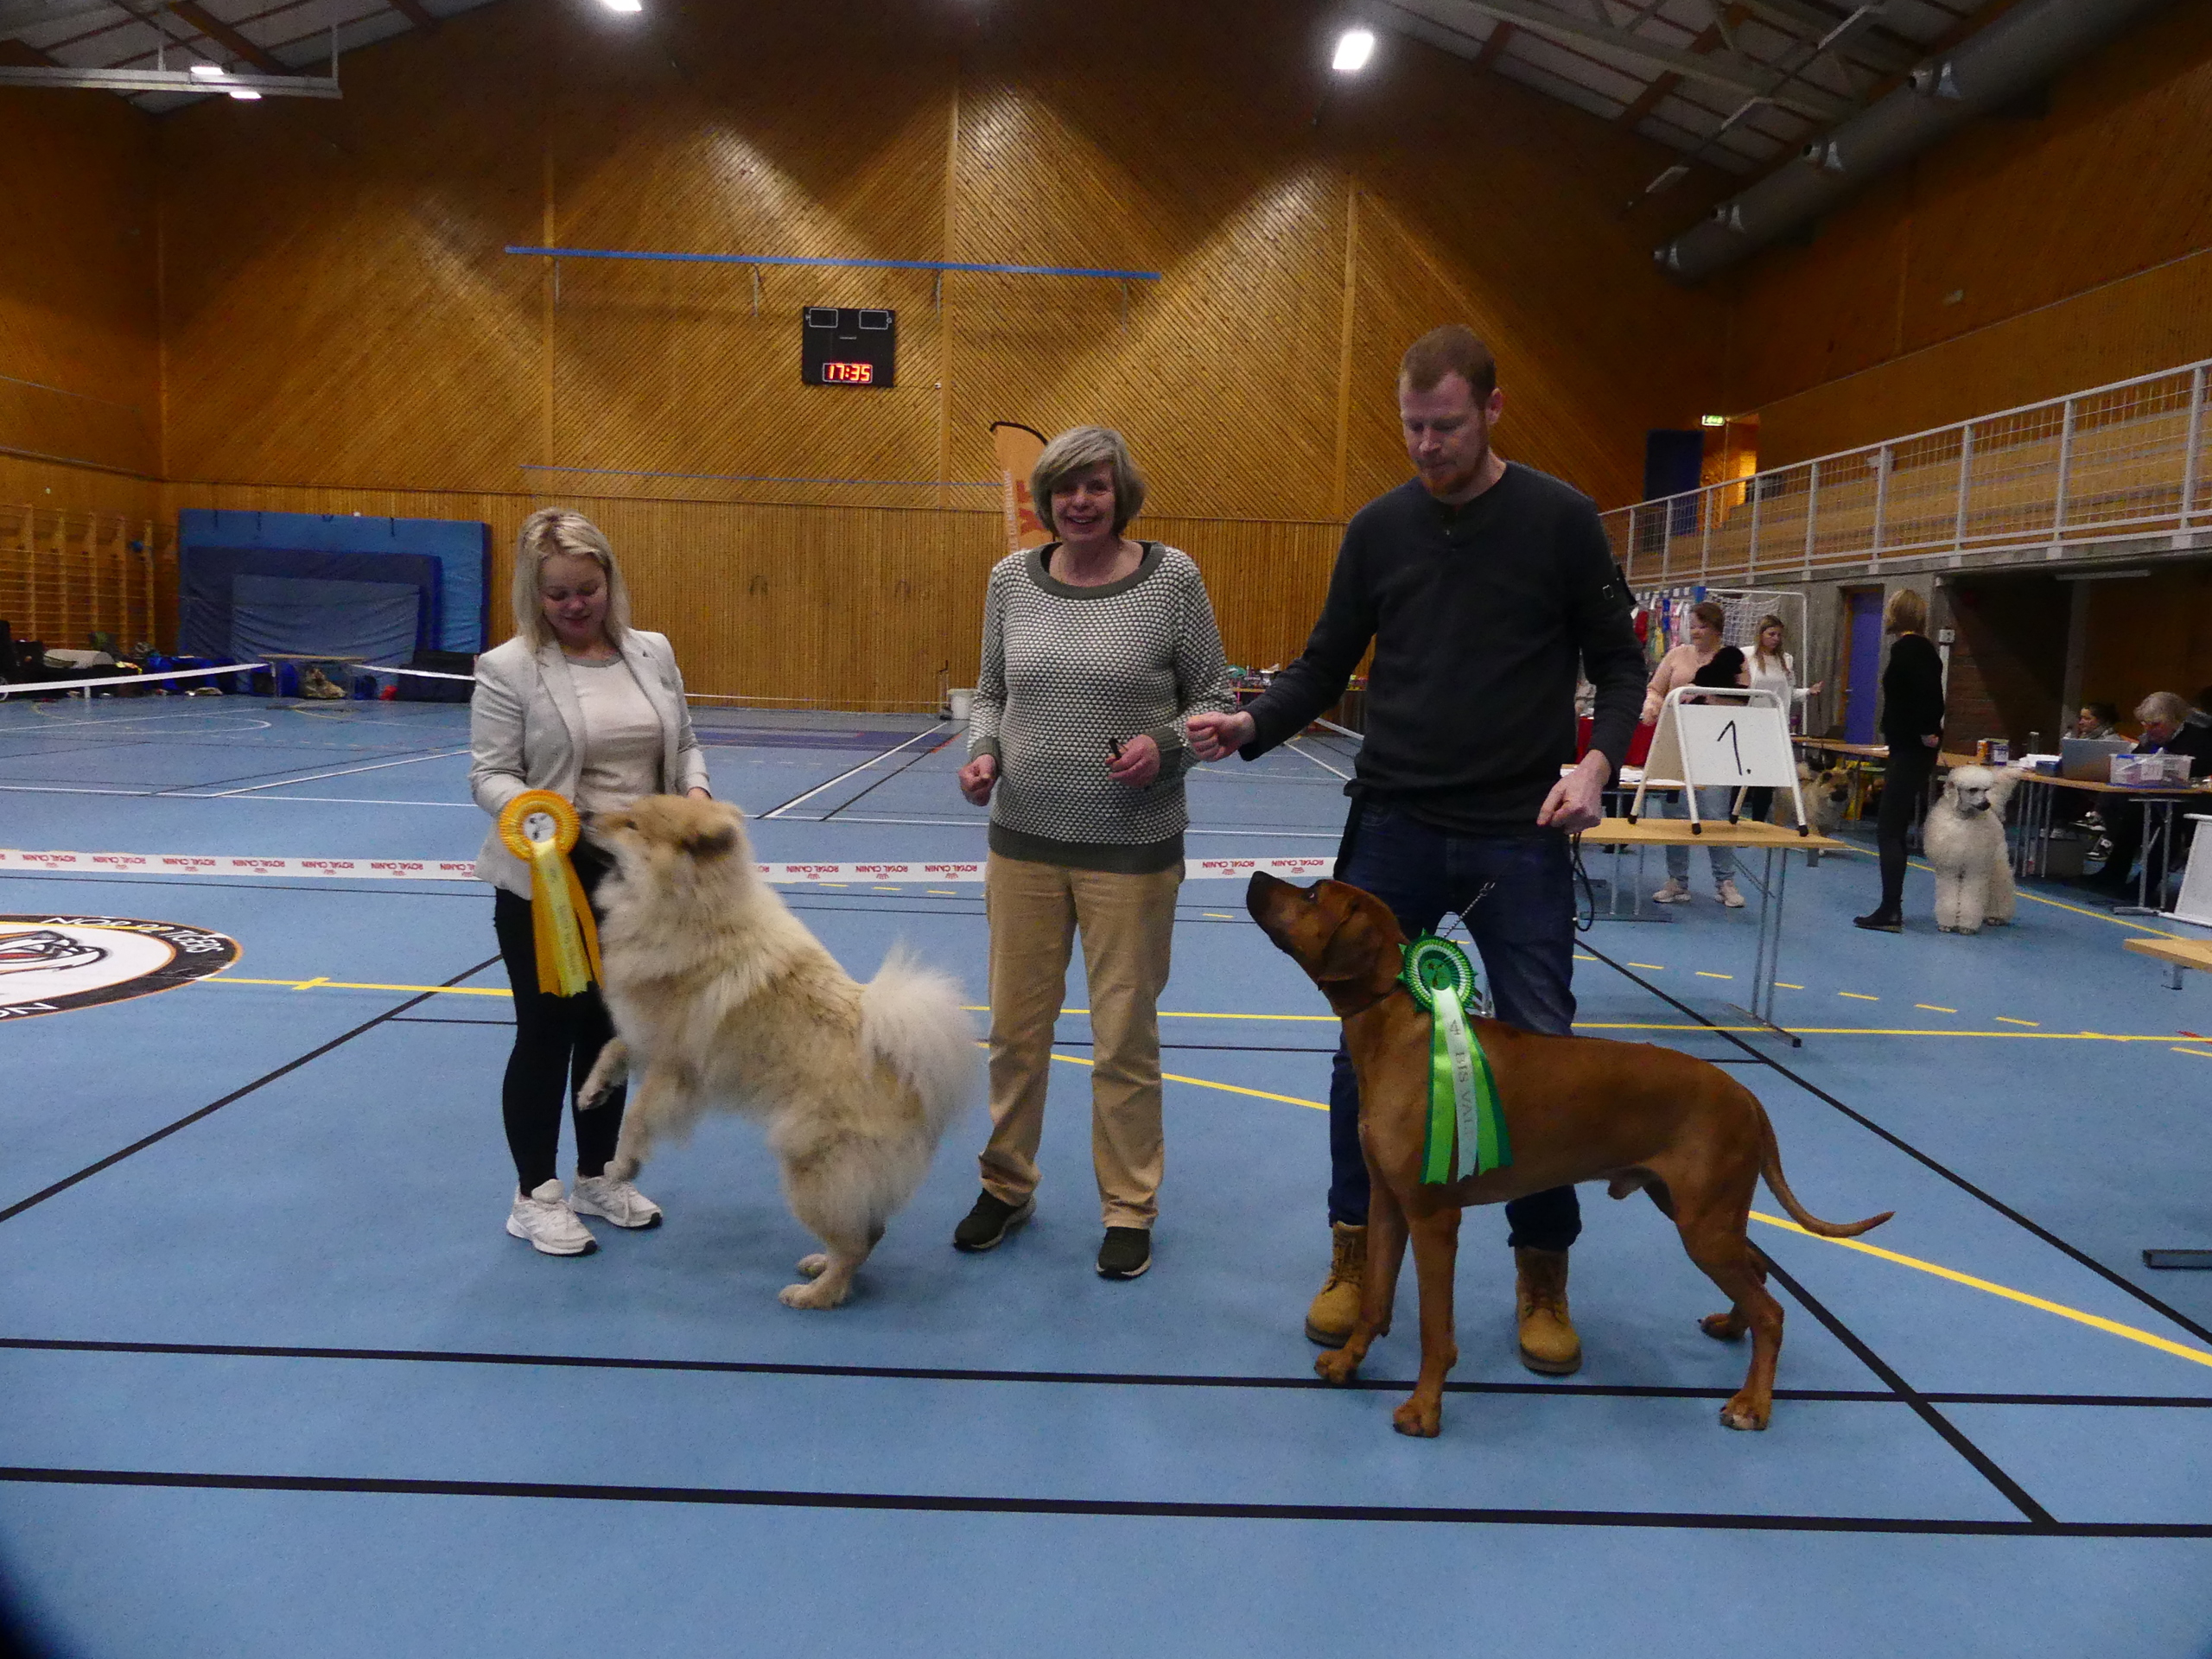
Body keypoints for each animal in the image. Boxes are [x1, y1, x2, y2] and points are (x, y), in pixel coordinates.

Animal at [577, 795, 978, 1309]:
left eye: (630, 824)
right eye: (624, 810)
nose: (584, 814)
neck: (691, 911)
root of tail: (910, 1081)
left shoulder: (674, 1064)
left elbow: (637, 1118)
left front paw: (622, 1166)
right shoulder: (643, 1035)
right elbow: (611, 1049)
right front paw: (592, 1092)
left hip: (811, 1171)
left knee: (855, 1241)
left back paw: (813, 1295)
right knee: (868, 1232)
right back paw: (821, 1267)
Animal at [1246, 872, 1891, 1436]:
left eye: (1311, 895)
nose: (1254, 877)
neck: (1403, 1031)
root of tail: (1747, 1095)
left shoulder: (1433, 1217)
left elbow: (1434, 1328)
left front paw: (1424, 1408)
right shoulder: (1387, 1200)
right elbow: (1375, 1300)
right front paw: (1348, 1361)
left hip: (1703, 1224)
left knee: (1772, 1311)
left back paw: (1753, 1404)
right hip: (1697, 1210)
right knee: (1756, 1272)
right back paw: (1732, 1328)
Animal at [1923, 764, 2020, 934]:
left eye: (1985, 789)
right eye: (1973, 789)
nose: (1986, 804)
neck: (1964, 820)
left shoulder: (1975, 869)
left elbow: (1971, 898)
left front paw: (1966, 926)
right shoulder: (1949, 869)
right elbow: (1949, 897)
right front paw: (1947, 924)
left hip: (1997, 861)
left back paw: (1996, 916)